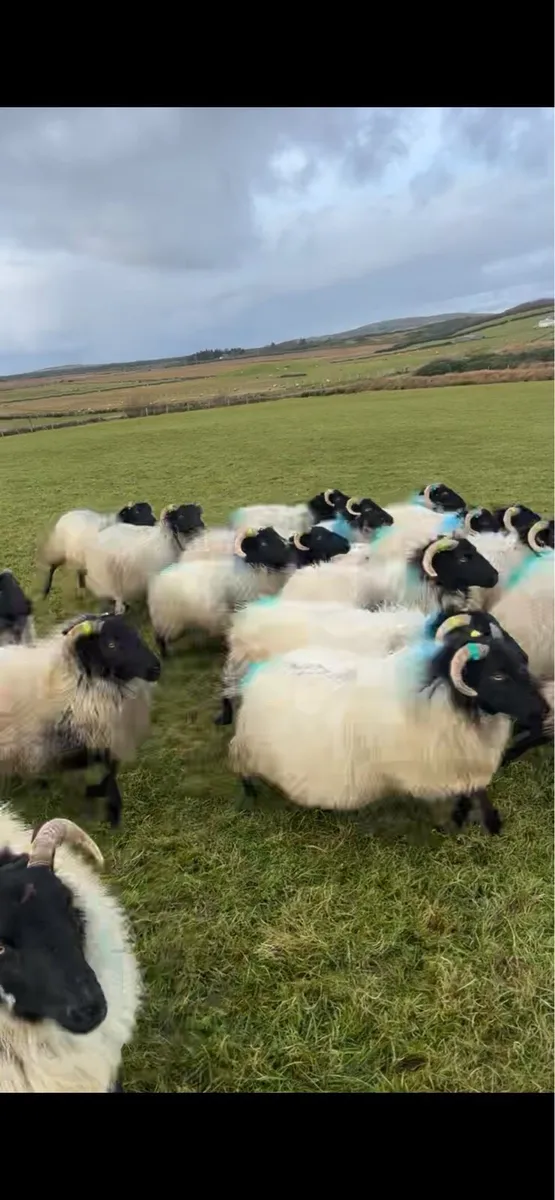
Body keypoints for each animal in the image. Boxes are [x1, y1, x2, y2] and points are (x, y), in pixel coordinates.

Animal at [148, 526, 293, 655]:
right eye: (263, 543)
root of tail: (157, 580)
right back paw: (166, 655)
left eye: (278, 537)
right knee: (160, 638)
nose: (288, 551)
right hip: (168, 621)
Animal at [229, 624, 547, 834]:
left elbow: (474, 791)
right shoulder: (441, 764)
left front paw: (472, 819)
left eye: (521, 665)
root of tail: (257, 675)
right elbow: (475, 791)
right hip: (252, 746)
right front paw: (482, 824)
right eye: (497, 675)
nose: (544, 709)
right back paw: (250, 797)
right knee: (240, 764)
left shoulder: (460, 762)